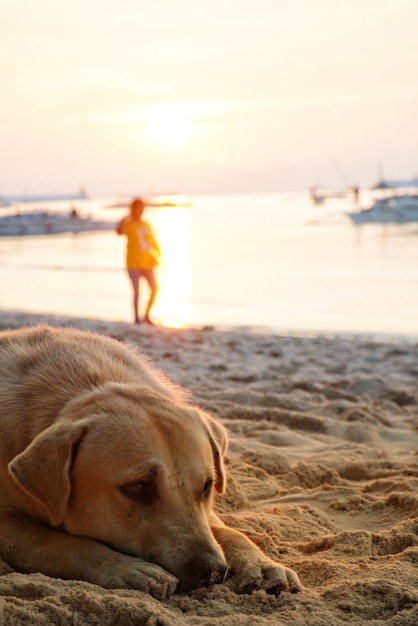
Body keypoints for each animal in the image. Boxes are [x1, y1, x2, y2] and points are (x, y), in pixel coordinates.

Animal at [0, 324, 302, 596]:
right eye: (137, 488)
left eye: (206, 486)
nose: (212, 572)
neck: (88, 386)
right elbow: (61, 543)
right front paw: (126, 568)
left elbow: (227, 531)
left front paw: (261, 563)